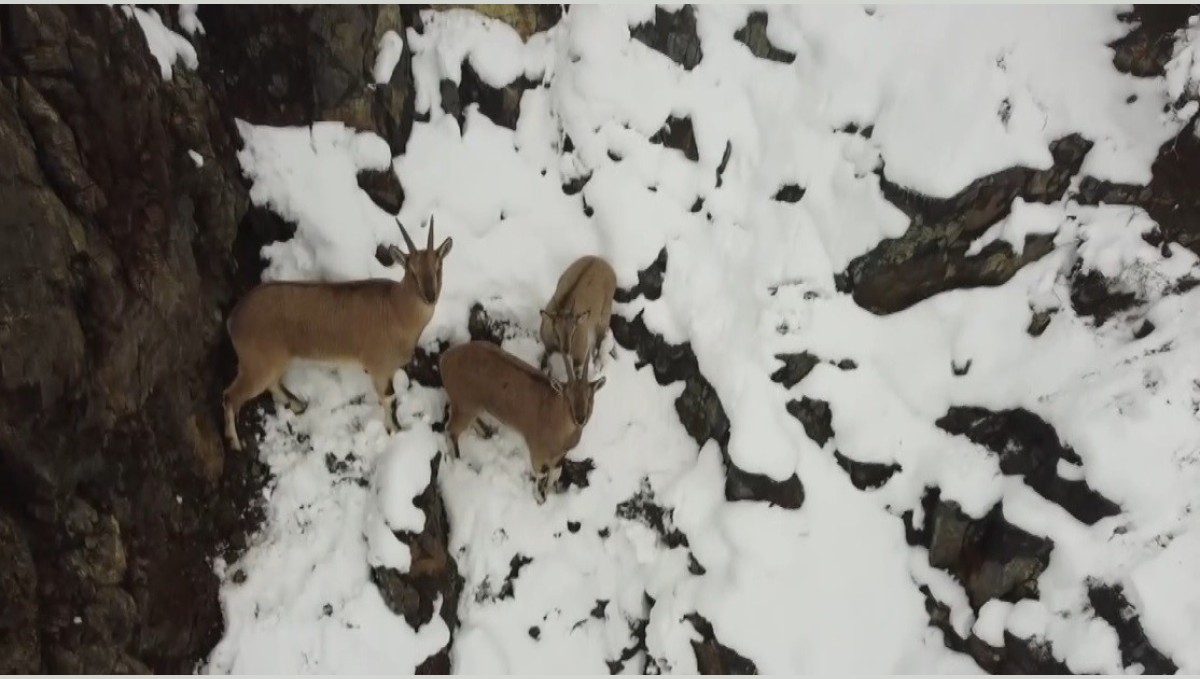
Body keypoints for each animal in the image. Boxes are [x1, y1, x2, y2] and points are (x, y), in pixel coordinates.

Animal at [223, 218, 451, 453]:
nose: (430, 296)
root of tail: (234, 318)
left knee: (272, 383)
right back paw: (236, 443)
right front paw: (395, 430)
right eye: (411, 270)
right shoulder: (379, 367)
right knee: (230, 396)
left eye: (438, 266)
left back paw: (298, 404)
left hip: (273, 362)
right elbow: (388, 397)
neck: (395, 308)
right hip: (256, 365)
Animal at [441, 335, 604, 506]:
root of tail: (445, 359)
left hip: (472, 406)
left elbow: (555, 474)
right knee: (451, 430)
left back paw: (486, 432)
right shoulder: (538, 452)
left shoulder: (560, 455)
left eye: (590, 396)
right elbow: (542, 476)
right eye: (568, 397)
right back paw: (458, 460)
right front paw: (541, 500)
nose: (580, 418)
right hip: (464, 405)